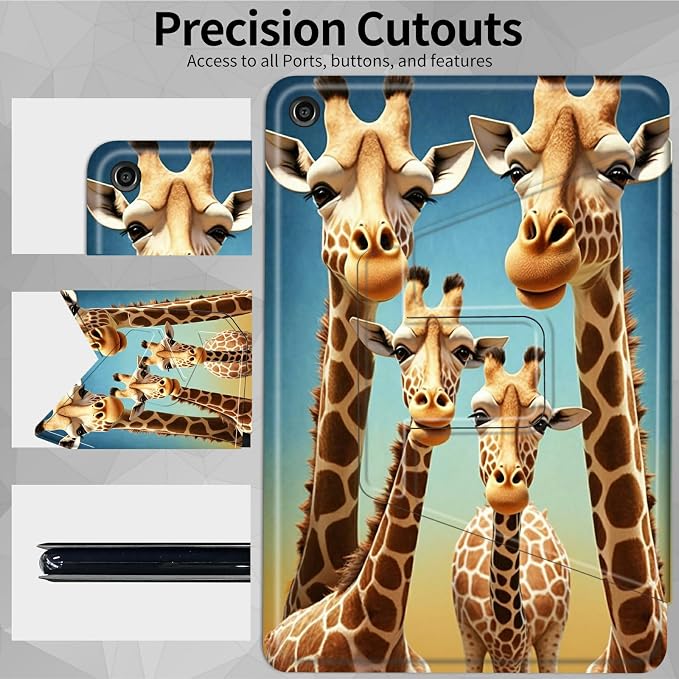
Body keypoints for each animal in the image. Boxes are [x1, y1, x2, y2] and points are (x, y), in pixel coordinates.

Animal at [453, 346, 590, 673]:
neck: (507, 639)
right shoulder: (473, 637)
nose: (507, 491)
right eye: (479, 416)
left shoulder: (544, 637)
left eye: (542, 423)